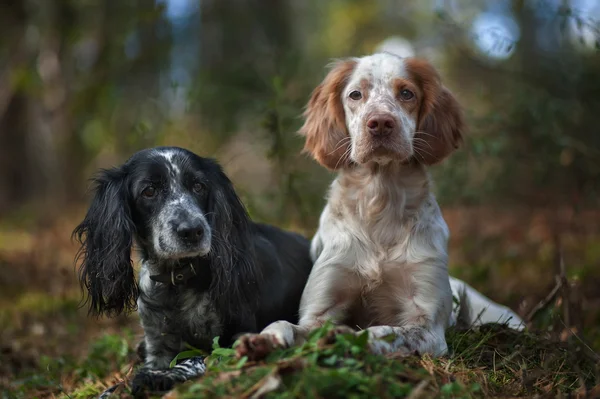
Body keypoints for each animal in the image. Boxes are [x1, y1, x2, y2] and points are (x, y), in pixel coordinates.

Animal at [72, 148, 312, 396]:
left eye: (199, 186)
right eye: (149, 191)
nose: (192, 231)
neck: (177, 280)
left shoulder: (238, 335)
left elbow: (198, 357)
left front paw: (158, 377)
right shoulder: (157, 345)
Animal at [237, 52, 524, 360]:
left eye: (407, 93)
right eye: (355, 94)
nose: (381, 122)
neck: (380, 203)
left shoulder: (427, 325)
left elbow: (385, 331)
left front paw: (348, 338)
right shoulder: (319, 310)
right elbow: (287, 324)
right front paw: (263, 339)